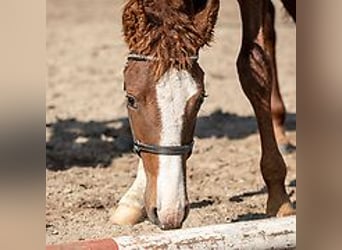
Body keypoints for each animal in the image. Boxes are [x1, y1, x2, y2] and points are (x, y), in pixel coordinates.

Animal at [111, 0, 296, 230]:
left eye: (200, 99)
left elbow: (254, 67)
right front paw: (135, 200)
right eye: (130, 99)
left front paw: (279, 198)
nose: (172, 213)